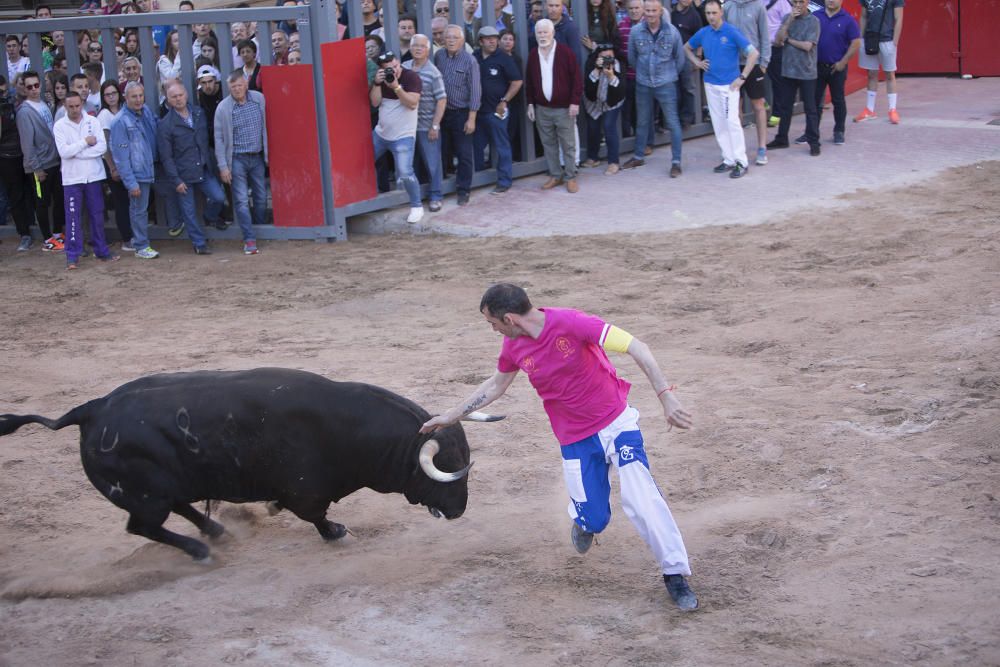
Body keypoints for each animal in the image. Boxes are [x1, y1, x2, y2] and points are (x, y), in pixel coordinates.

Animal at [0, 368, 486, 560]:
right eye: (449, 470)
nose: (460, 510)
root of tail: (92, 410)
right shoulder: (307, 490)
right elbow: (316, 515)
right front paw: (337, 532)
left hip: (164, 487)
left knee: (180, 508)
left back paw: (215, 531)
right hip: (145, 495)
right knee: (144, 526)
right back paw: (200, 550)